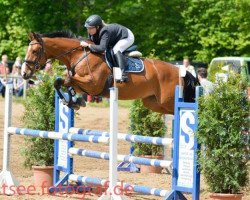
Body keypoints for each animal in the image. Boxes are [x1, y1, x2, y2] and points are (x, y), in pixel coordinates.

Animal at [21, 31, 198, 114]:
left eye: (35, 51)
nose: (24, 74)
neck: (79, 55)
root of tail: (180, 71)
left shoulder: (92, 84)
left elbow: (67, 79)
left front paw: (72, 101)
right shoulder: (82, 84)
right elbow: (61, 82)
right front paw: (73, 102)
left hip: (168, 101)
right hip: (154, 103)